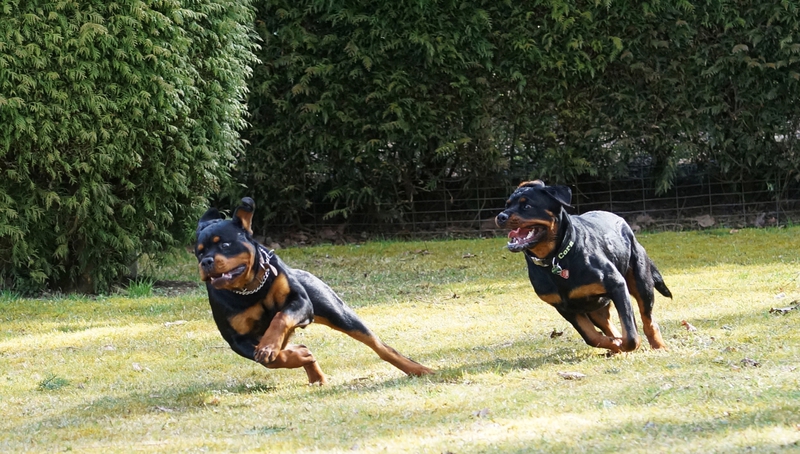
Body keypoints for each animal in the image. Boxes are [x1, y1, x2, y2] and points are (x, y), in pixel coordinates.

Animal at [194, 197, 433, 384]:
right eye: (198, 252)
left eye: (224, 245)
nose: (205, 262)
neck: (250, 289)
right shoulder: (237, 339)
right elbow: (273, 359)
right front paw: (296, 355)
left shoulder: (301, 302)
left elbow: (280, 318)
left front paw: (271, 347)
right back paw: (313, 373)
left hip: (339, 313)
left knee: (381, 346)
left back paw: (419, 370)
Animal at [495, 180, 671, 353]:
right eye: (506, 205)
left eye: (527, 206)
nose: (501, 216)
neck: (555, 260)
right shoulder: (565, 307)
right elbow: (591, 337)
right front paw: (615, 344)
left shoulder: (617, 286)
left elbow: (630, 334)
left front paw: (627, 343)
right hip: (596, 307)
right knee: (607, 324)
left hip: (641, 283)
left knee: (648, 318)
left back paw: (658, 345)